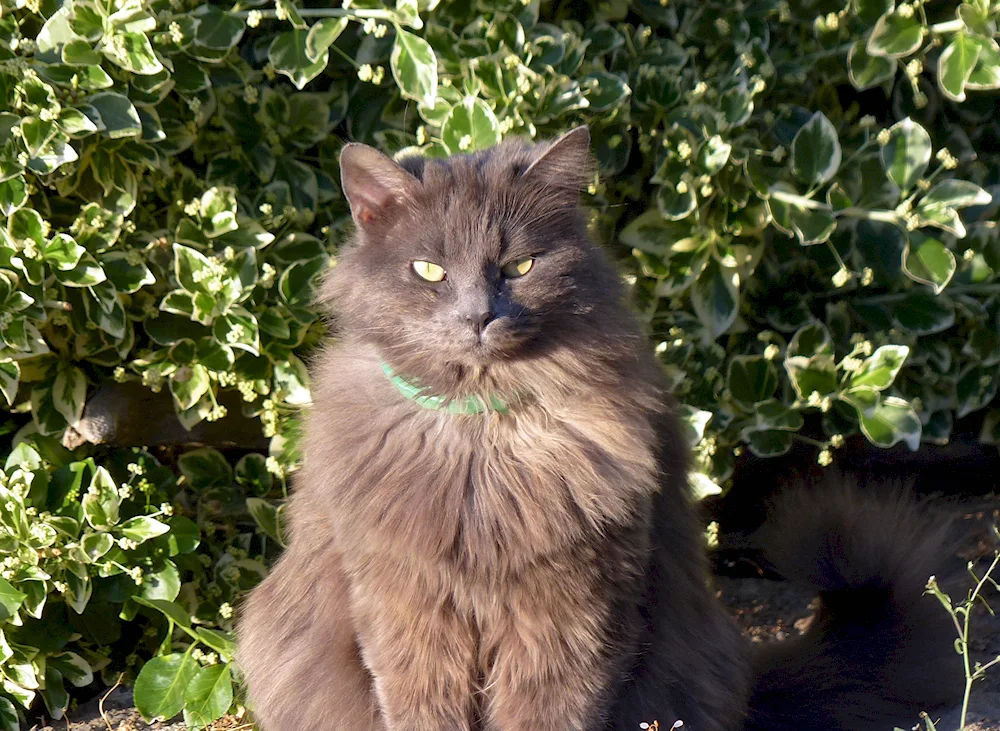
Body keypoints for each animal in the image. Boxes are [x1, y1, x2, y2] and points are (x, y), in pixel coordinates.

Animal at [234, 129, 960, 728]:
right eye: (430, 271)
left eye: (520, 267)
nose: (478, 315)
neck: (484, 437)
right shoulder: (408, 614)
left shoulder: (573, 614)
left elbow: (548, 713)